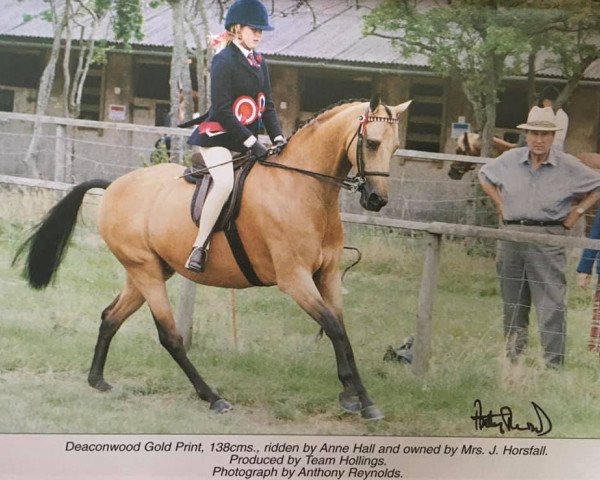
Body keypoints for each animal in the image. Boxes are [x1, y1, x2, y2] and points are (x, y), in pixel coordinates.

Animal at [14, 94, 410, 420]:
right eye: (371, 143)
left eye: (395, 148)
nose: (376, 200)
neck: (303, 189)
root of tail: (114, 187)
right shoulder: (294, 279)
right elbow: (333, 327)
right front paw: (360, 399)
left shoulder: (326, 273)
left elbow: (340, 330)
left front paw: (354, 397)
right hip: (146, 272)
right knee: (170, 337)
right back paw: (212, 397)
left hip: (147, 272)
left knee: (110, 317)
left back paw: (97, 380)